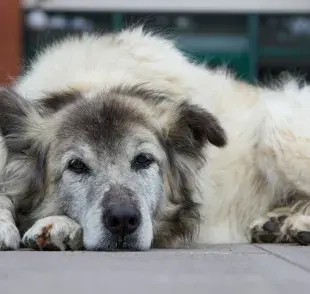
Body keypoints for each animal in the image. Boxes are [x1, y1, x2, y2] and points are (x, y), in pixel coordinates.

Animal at [0, 26, 310, 249]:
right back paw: (276, 223)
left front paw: (58, 224)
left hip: (279, 130)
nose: (123, 220)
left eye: (143, 160)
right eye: (76, 165)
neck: (98, 82)